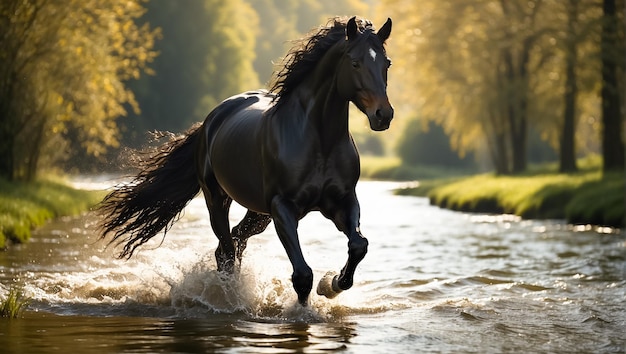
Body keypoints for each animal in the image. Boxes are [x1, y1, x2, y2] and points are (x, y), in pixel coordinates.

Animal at [97, 15, 390, 304]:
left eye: (386, 63)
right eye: (355, 63)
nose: (383, 115)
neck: (318, 140)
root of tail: (211, 120)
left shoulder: (342, 201)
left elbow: (358, 245)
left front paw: (331, 284)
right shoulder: (283, 207)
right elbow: (302, 275)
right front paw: (306, 306)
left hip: (258, 214)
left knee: (235, 241)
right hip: (218, 200)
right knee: (226, 249)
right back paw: (229, 297)